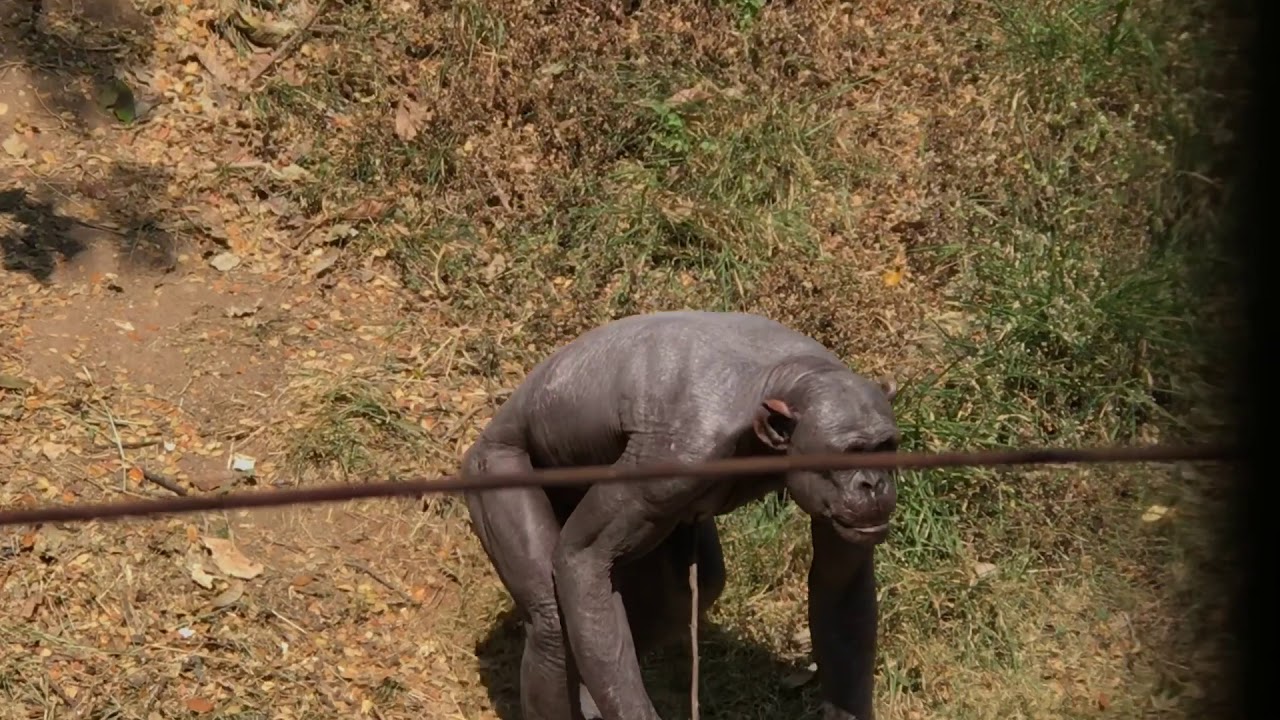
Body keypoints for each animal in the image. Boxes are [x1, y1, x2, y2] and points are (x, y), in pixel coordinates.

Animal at [461, 311, 899, 720]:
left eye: (886, 447)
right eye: (848, 454)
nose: (873, 483)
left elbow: (841, 587)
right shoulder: (676, 456)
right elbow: (585, 555)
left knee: (683, 593)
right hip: (493, 468)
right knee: (552, 620)